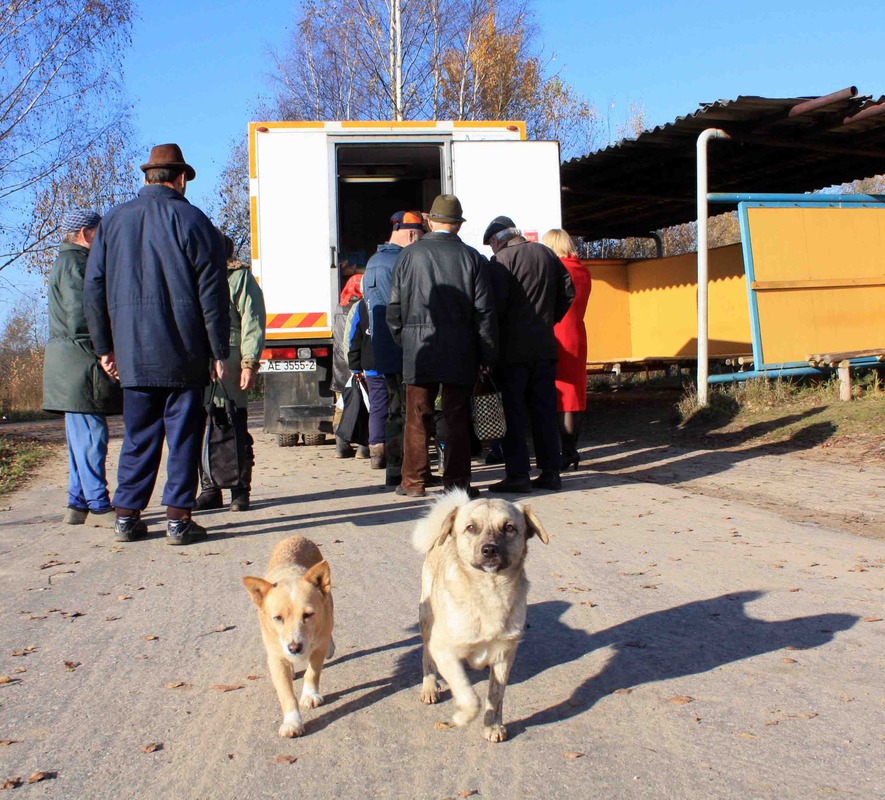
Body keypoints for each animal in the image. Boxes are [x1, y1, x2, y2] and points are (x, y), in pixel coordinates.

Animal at [242, 536, 334, 736]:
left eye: (308, 615)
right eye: (278, 618)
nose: (294, 648)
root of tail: (296, 537)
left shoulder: (318, 648)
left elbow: (312, 673)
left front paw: (310, 695)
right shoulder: (275, 658)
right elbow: (286, 694)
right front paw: (292, 722)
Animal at [412, 488, 548, 744]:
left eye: (509, 527)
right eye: (471, 528)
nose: (489, 549)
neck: (489, 592)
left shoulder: (505, 654)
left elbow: (496, 696)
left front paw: (493, 726)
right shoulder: (445, 651)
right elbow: (470, 697)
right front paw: (459, 718)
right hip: (426, 620)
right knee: (426, 657)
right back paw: (429, 687)